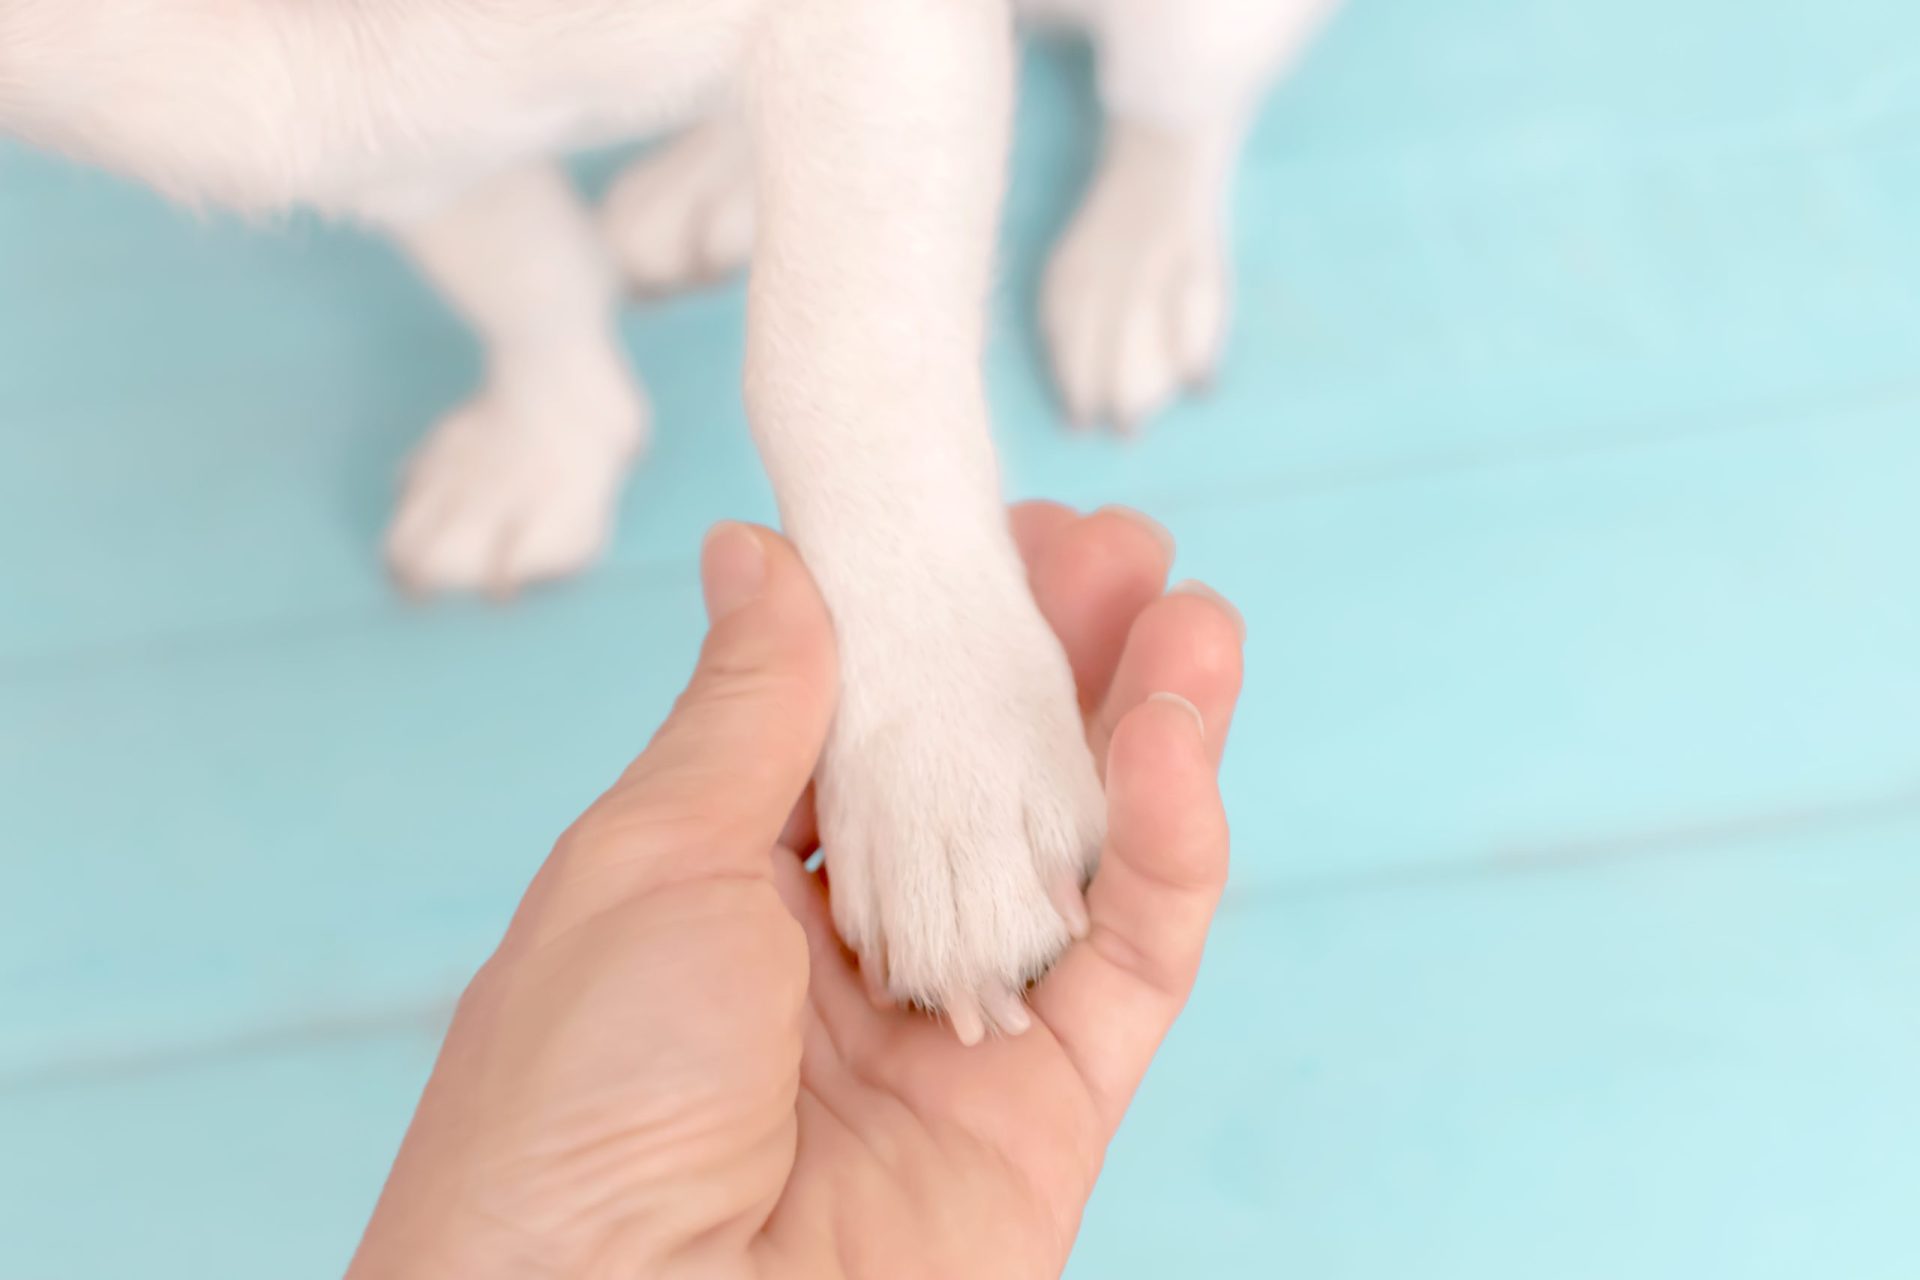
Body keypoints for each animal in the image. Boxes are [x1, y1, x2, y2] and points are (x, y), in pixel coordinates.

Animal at [0, 0, 1336, 1043]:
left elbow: (835, 355)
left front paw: (943, 757)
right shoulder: (360, 140)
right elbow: (519, 269)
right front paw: (552, 436)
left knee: (1178, 103)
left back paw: (1139, 252)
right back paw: (717, 175)